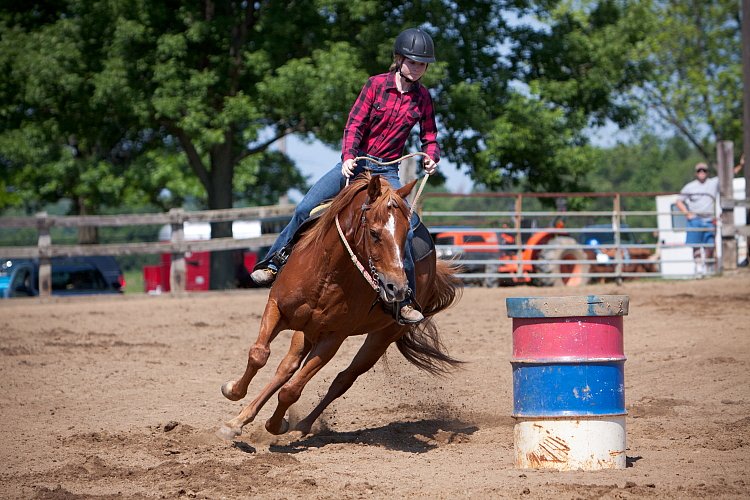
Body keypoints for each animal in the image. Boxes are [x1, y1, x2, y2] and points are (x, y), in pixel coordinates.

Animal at [219, 174, 464, 440]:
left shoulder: (333, 337)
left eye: (405, 235)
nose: (397, 289)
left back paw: (302, 425)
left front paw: (276, 425)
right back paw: (242, 419)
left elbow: (292, 389)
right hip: (306, 331)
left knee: (343, 379)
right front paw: (233, 395)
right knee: (286, 368)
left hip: (381, 338)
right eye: (374, 233)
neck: (327, 273)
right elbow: (259, 354)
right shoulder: (277, 307)